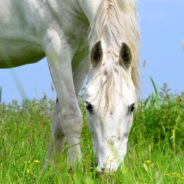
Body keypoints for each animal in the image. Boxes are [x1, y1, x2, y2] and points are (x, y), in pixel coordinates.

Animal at [0, 0, 138, 172]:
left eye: (132, 107)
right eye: (89, 106)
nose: (107, 170)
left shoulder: (83, 55)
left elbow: (59, 119)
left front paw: (49, 171)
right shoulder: (56, 47)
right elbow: (71, 115)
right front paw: (76, 169)